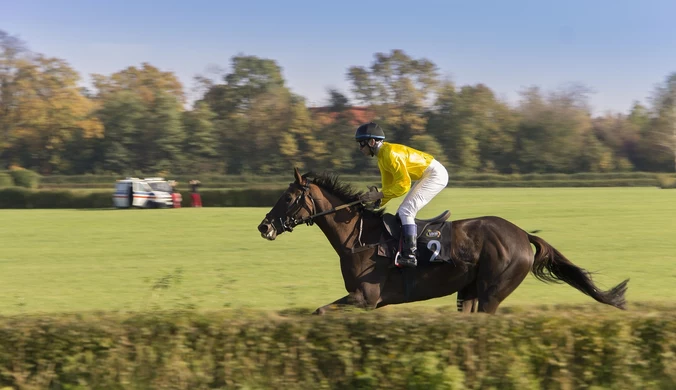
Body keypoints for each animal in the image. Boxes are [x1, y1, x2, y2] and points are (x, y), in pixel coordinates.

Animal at [255, 168, 628, 314]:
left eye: (288, 198)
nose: (264, 226)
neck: (358, 237)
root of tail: (522, 235)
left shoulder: (365, 297)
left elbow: (320, 311)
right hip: (469, 292)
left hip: (492, 292)